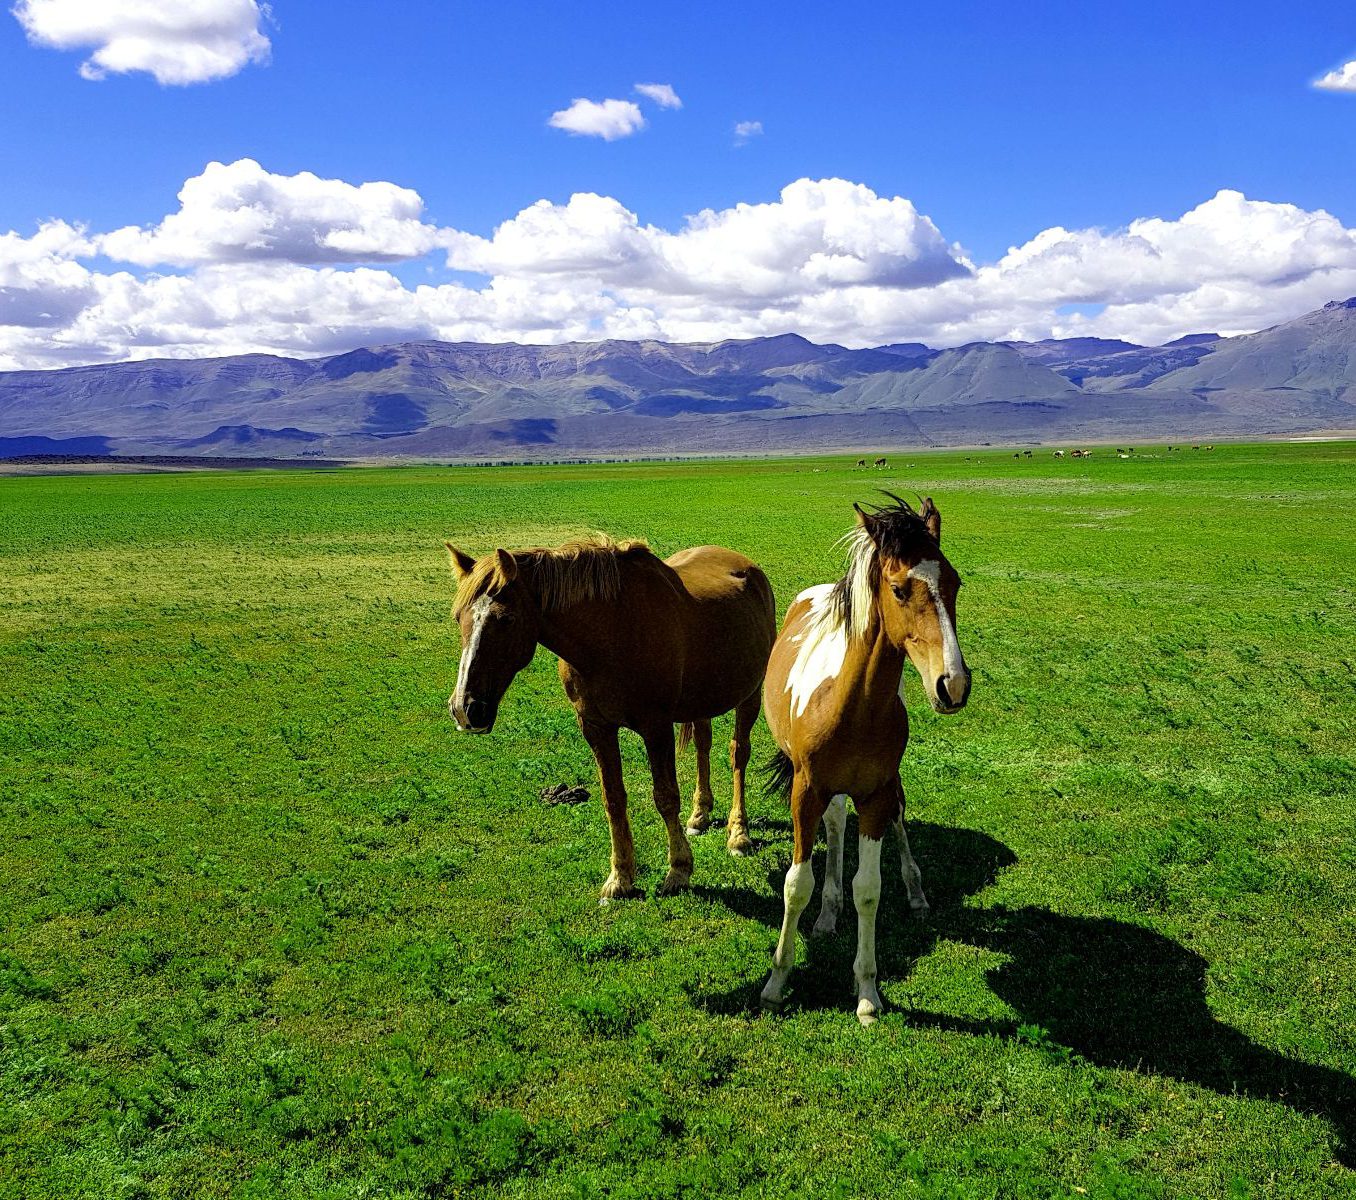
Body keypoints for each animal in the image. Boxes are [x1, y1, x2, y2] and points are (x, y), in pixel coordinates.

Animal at [445, 536, 776, 901]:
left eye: (506, 619)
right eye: (458, 617)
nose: (464, 708)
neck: (610, 634)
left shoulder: (656, 727)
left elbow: (665, 796)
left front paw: (678, 870)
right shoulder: (596, 728)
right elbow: (613, 799)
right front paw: (620, 878)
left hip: (750, 694)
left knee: (738, 755)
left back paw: (738, 834)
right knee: (704, 745)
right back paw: (699, 815)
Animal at [759, 495, 972, 1024]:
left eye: (954, 582)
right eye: (898, 589)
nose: (953, 684)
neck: (851, 704)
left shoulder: (874, 795)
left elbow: (869, 889)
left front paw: (868, 993)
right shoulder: (806, 791)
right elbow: (797, 884)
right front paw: (776, 982)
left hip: (885, 787)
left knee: (897, 817)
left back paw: (914, 892)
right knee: (835, 825)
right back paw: (827, 911)